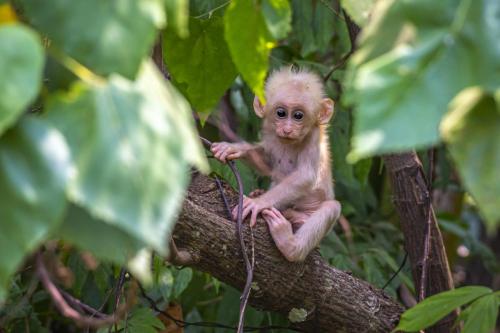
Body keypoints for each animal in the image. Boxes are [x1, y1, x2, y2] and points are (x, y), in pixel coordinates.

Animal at [209, 66, 342, 260]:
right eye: (281, 113)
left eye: (298, 116)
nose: (287, 129)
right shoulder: (271, 133)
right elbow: (268, 165)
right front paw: (234, 148)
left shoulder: (314, 137)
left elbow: (306, 176)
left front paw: (258, 203)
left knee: (332, 206)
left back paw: (290, 244)